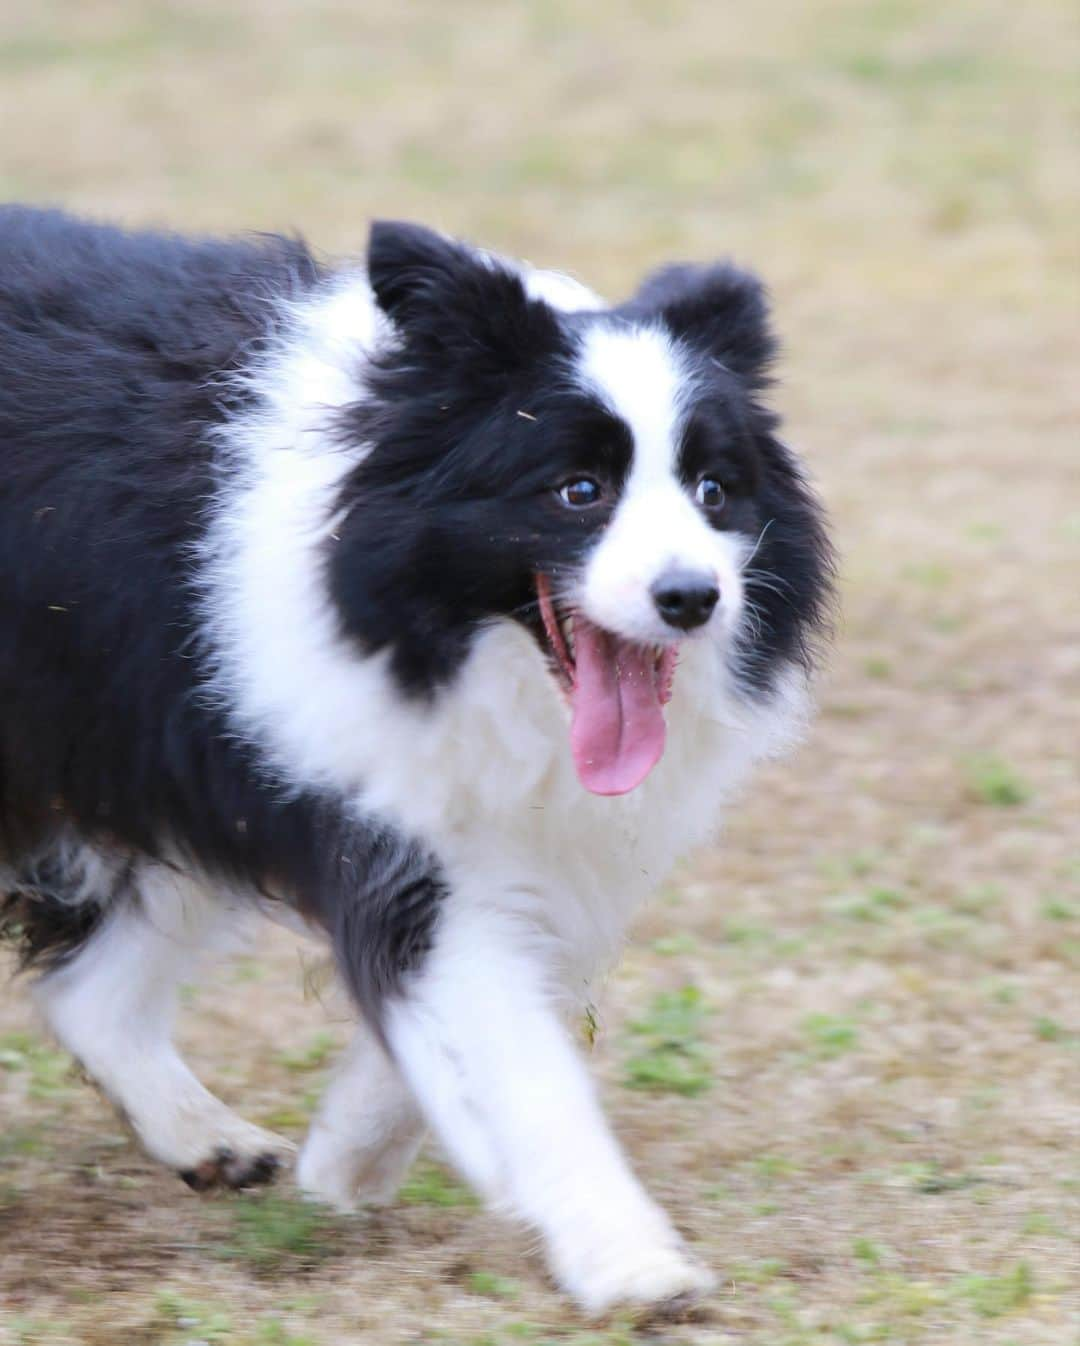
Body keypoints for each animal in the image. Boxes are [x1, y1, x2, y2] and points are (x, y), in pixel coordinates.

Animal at [0, 209, 829, 1313]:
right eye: (579, 490)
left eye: (714, 489)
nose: (694, 598)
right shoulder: (373, 797)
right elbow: (517, 1050)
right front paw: (629, 1259)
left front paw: (348, 1157)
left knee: (92, 980)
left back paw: (207, 1137)